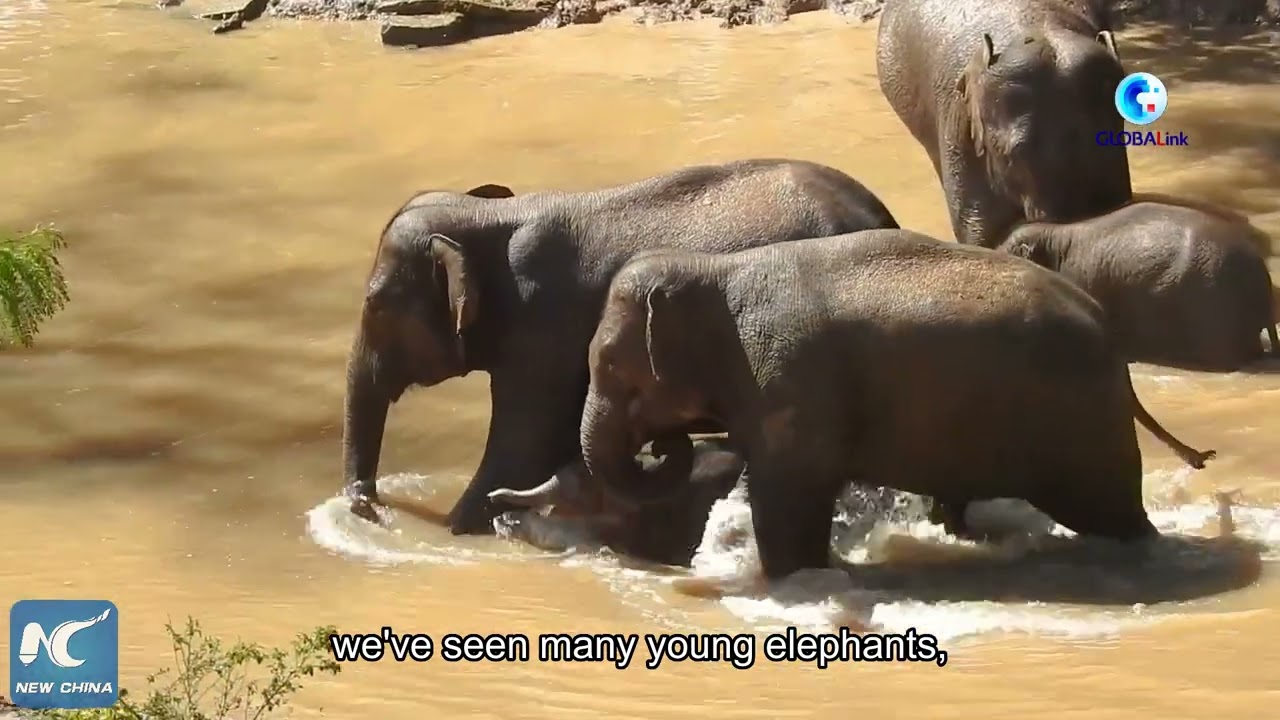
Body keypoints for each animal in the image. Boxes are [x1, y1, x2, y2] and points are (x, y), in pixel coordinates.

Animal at [341, 158, 900, 534]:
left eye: (376, 305)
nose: (367, 506)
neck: (487, 217)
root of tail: (884, 217)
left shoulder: (543, 338)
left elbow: (521, 449)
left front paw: (458, 530)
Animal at [558, 228, 1215, 581]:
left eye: (609, 367)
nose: (660, 443)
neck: (717, 273)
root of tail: (1108, 334)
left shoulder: (792, 386)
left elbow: (788, 495)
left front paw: (795, 580)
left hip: (1079, 425)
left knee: (1111, 511)